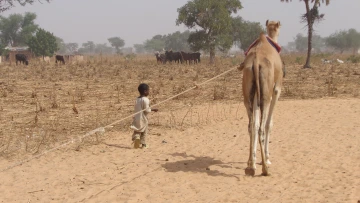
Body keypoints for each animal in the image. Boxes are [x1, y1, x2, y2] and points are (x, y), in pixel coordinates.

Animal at [240, 20, 282, 176]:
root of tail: (256, 62)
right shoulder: (276, 90)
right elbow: (269, 124)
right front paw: (268, 158)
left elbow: (254, 124)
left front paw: (251, 160)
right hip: (265, 95)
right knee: (262, 127)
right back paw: (265, 168)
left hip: (248, 94)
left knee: (252, 125)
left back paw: (250, 166)